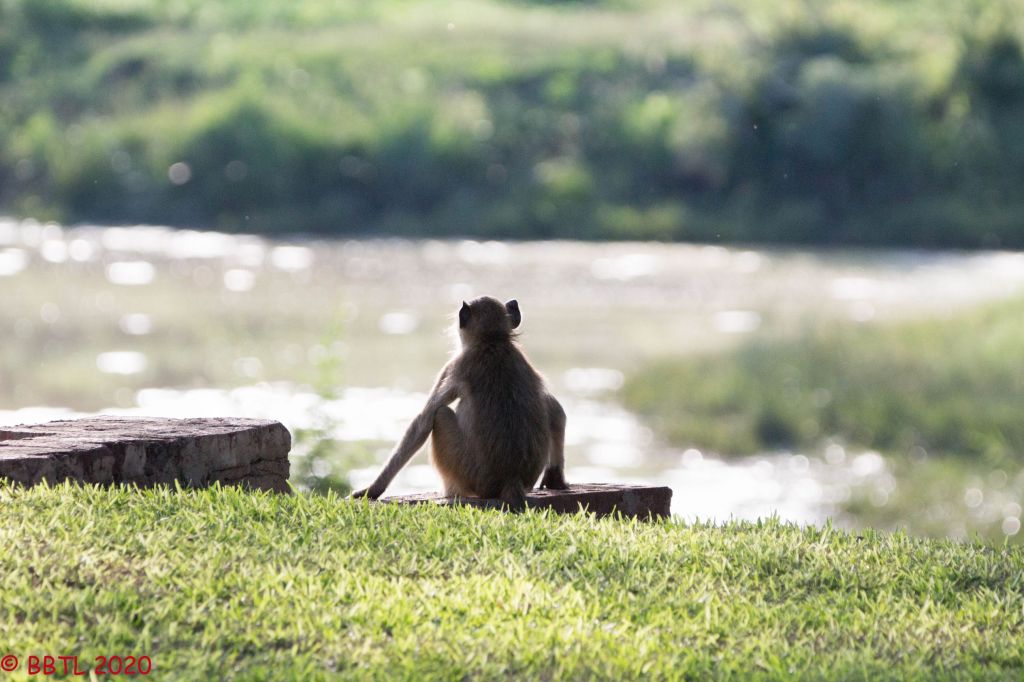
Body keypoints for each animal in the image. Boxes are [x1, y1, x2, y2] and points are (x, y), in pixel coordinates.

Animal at [351, 296, 568, 509]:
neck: (492, 341)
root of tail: (511, 480)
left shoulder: (455, 365)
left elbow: (423, 422)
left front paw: (372, 490)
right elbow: (555, 410)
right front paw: (555, 478)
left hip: (465, 471)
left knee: (441, 415)